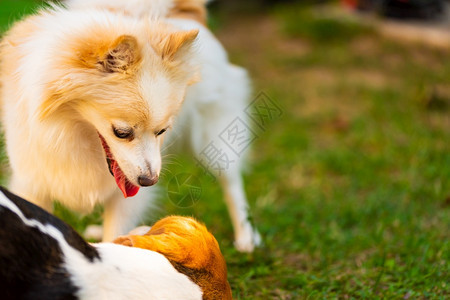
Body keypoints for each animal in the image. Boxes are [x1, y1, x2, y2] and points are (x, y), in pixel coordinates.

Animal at [0, 0, 260, 252]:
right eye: (121, 133)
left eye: (161, 132)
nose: (149, 181)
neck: (74, 132)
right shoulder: (33, 183)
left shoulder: (127, 196)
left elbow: (116, 232)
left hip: (213, 135)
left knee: (231, 181)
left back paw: (246, 237)